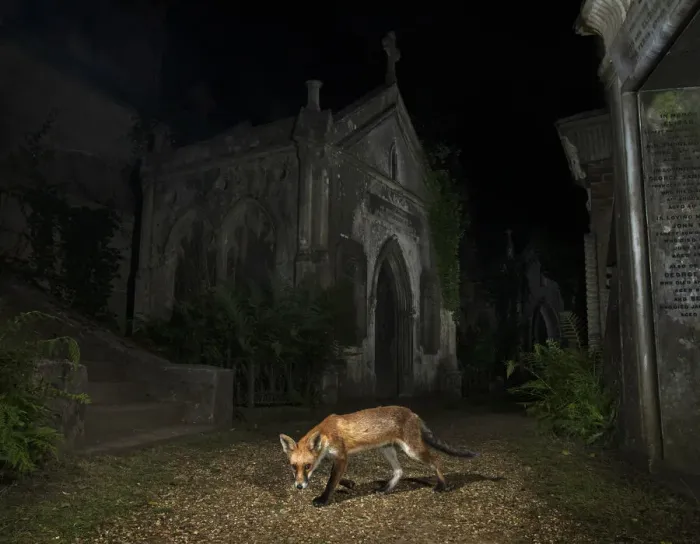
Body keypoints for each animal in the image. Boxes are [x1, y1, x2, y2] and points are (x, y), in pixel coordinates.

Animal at [279, 405, 479, 507]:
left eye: (307, 466)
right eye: (293, 466)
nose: (299, 486)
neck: (327, 433)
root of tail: (412, 413)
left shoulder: (342, 456)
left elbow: (331, 481)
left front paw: (323, 499)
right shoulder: (332, 458)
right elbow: (333, 478)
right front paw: (349, 484)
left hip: (412, 451)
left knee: (436, 460)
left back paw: (442, 486)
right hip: (386, 450)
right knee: (399, 471)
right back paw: (386, 489)